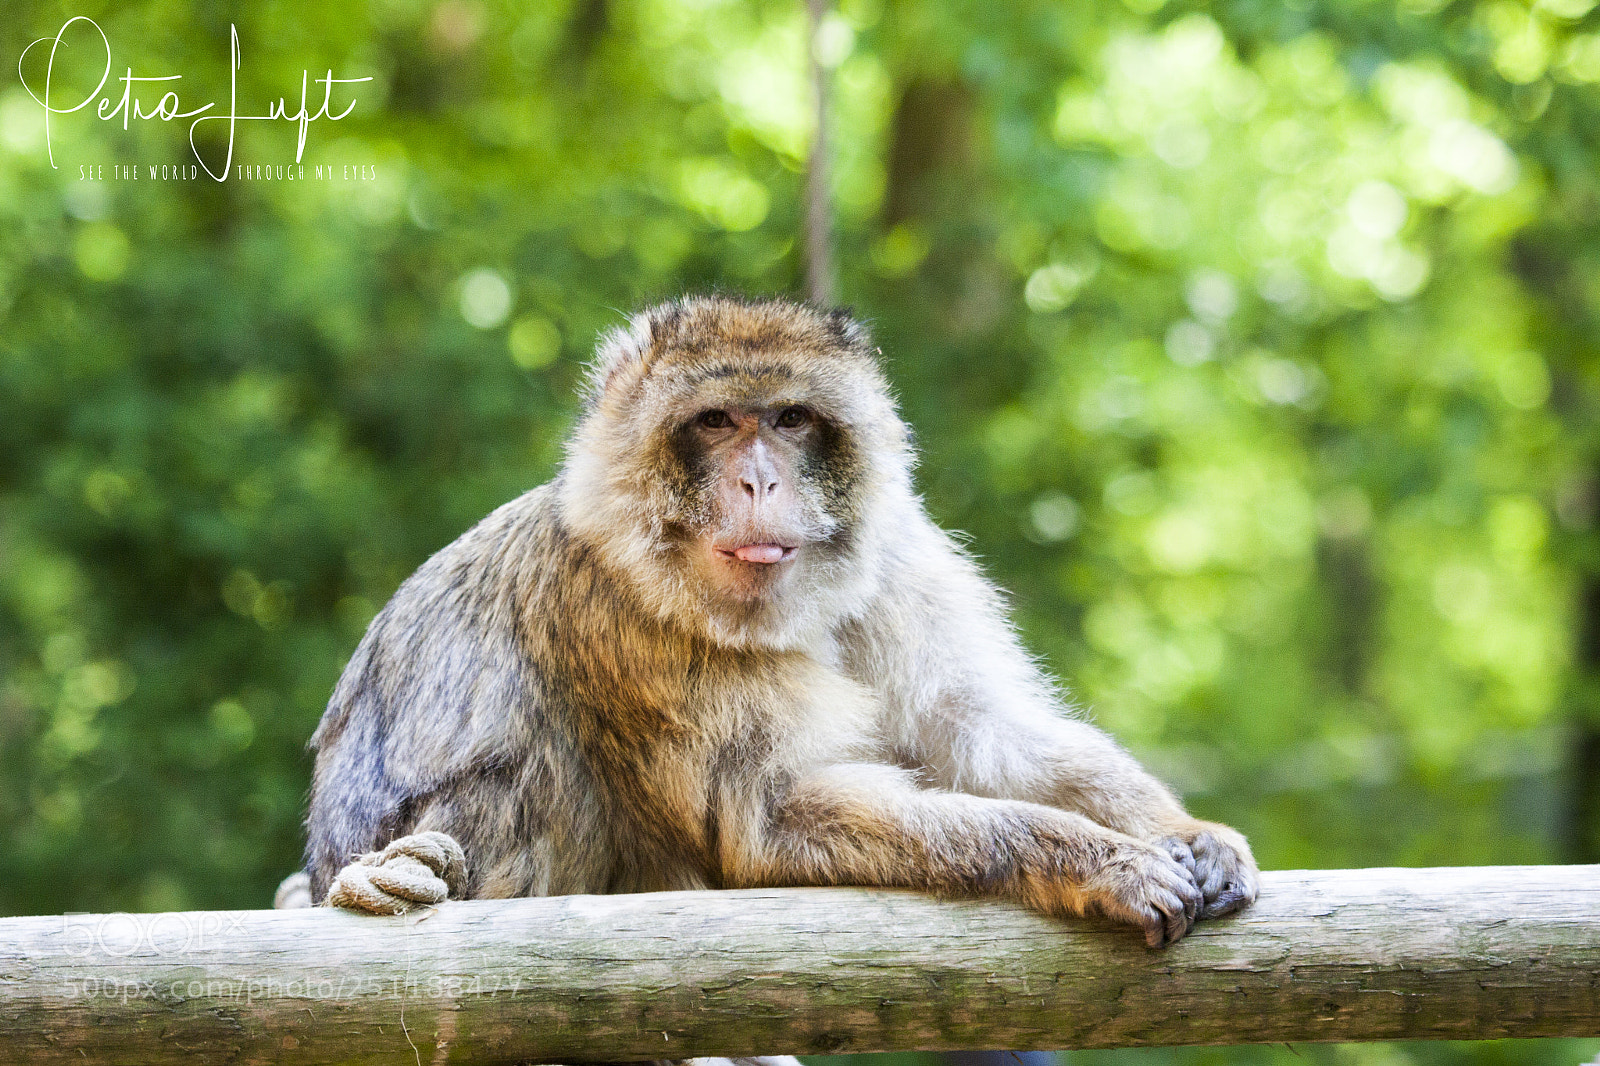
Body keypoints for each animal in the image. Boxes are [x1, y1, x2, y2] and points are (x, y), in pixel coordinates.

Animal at [294, 295, 1259, 967]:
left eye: (792, 419)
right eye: (717, 421)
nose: (759, 481)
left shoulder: (894, 562)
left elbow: (981, 729)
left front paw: (1183, 829)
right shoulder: (624, 621)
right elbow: (771, 816)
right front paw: (1097, 861)